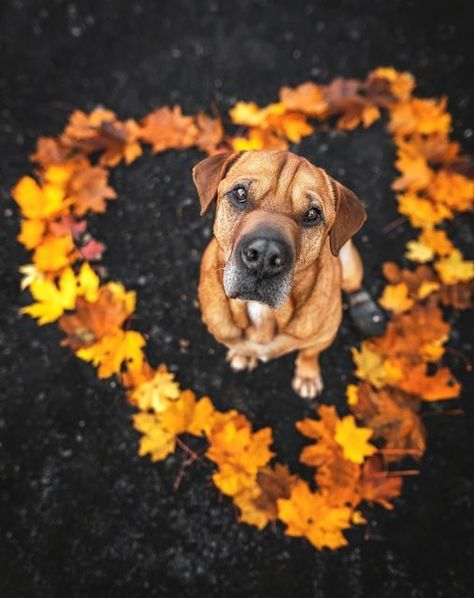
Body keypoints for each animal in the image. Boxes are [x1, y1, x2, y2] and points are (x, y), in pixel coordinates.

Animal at [192, 149, 370, 398]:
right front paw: (243, 354)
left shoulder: (323, 337)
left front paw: (307, 375)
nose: (265, 257)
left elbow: (309, 353)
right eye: (240, 193)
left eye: (312, 214)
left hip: (349, 262)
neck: (262, 311)